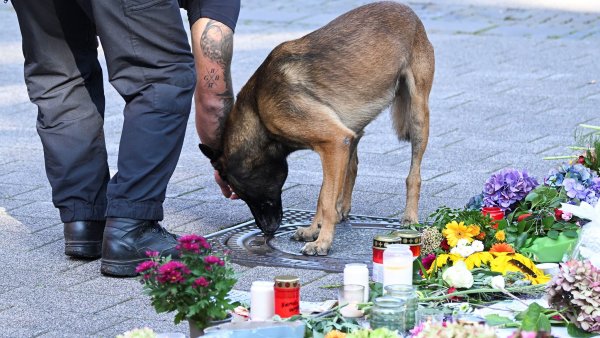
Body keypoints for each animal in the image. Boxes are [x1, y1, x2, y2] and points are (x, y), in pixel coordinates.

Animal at [199, 0, 434, 256]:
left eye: (240, 192)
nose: (267, 230)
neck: (258, 112)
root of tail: (407, 10)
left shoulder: (334, 141)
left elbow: (327, 199)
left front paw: (323, 241)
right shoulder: (334, 145)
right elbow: (324, 195)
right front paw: (314, 229)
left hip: (418, 117)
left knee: (413, 175)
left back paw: (409, 217)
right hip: (354, 129)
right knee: (351, 168)